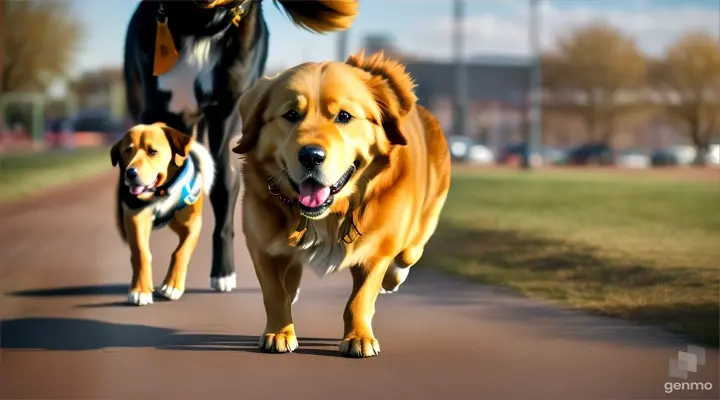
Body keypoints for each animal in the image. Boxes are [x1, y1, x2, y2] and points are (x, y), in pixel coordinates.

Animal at [109, 122, 215, 306]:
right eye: (128, 150)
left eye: (153, 151)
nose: (130, 173)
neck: (161, 192)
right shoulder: (136, 218)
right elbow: (141, 253)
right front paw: (140, 290)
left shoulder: (192, 223)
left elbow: (181, 251)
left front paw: (172, 286)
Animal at [232, 50, 450, 360]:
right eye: (291, 115)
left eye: (344, 116)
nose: (311, 156)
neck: (327, 215)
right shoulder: (262, 246)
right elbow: (275, 293)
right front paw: (279, 332)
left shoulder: (376, 251)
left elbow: (359, 299)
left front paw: (359, 337)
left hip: (423, 220)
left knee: (409, 253)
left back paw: (394, 278)